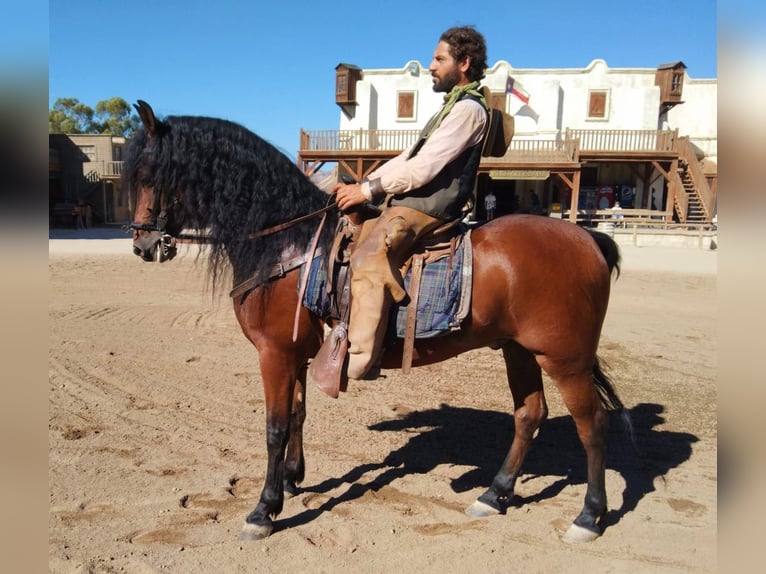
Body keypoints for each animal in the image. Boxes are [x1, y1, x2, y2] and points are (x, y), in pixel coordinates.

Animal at [126, 101, 628, 548]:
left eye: (150, 175)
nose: (143, 246)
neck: (287, 243)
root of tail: (588, 237)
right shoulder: (298, 355)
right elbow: (298, 414)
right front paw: (292, 479)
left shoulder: (275, 353)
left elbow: (274, 427)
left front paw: (263, 510)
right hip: (518, 350)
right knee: (529, 415)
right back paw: (494, 495)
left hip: (565, 359)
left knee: (592, 425)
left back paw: (589, 516)